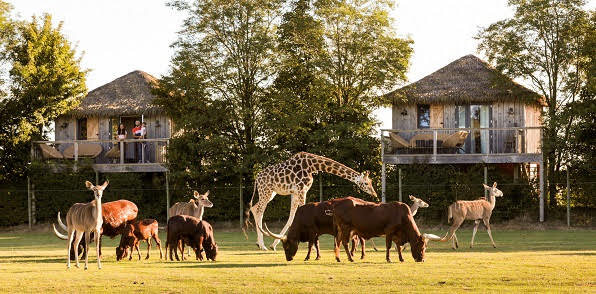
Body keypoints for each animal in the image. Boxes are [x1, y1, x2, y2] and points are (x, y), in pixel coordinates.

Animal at [244, 152, 374, 250]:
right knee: (259, 211)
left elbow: (291, 217)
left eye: (371, 182)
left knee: (254, 208)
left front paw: (274, 245)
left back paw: (259, 243)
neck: (313, 166)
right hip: (266, 191)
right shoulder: (302, 190)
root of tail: (257, 178)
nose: (374, 193)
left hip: (271, 193)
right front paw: (311, 245)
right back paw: (262, 245)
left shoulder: (295, 192)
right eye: (366, 183)